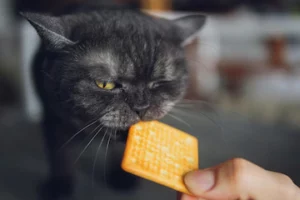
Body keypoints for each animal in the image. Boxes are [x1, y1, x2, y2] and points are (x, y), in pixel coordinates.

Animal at [21, 5, 206, 199]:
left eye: (160, 82)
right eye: (105, 84)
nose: (141, 107)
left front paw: (121, 177)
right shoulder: (52, 117)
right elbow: (59, 153)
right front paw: (59, 186)